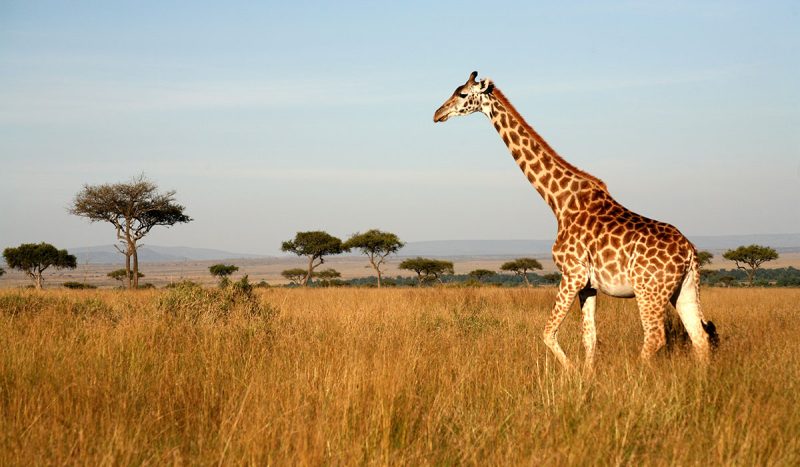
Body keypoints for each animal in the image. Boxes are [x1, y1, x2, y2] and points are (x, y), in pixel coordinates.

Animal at [434, 71, 718, 371]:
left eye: (463, 94)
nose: (437, 113)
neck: (560, 202)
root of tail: (690, 253)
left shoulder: (572, 274)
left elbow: (548, 332)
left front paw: (571, 372)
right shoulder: (589, 285)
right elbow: (589, 337)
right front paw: (587, 375)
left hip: (649, 290)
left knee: (655, 337)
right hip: (684, 289)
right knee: (699, 337)